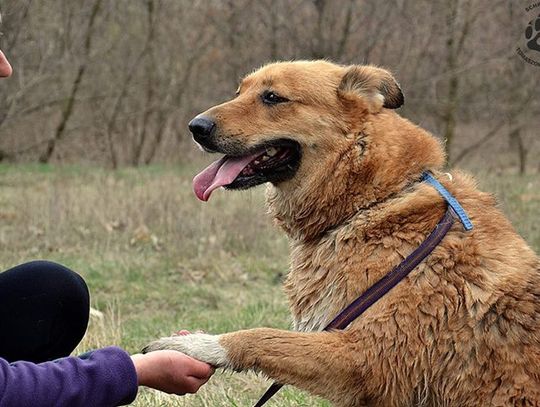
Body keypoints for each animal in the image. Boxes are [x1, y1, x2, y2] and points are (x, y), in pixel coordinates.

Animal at [146, 61, 540, 407]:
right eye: (239, 92)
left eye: (272, 97)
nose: (196, 127)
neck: (373, 202)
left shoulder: (366, 358)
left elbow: (261, 337)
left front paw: (196, 345)